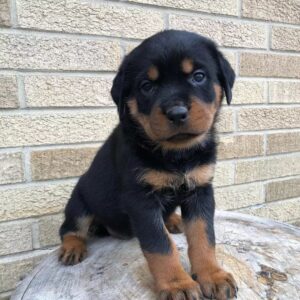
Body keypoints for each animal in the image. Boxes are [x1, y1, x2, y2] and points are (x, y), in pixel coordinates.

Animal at [58, 28, 237, 300]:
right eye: (146, 86)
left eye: (198, 76)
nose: (176, 113)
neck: (176, 154)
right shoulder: (141, 199)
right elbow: (160, 246)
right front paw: (177, 284)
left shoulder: (201, 190)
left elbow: (204, 237)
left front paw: (212, 275)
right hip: (80, 200)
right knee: (70, 228)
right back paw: (72, 247)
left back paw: (173, 220)